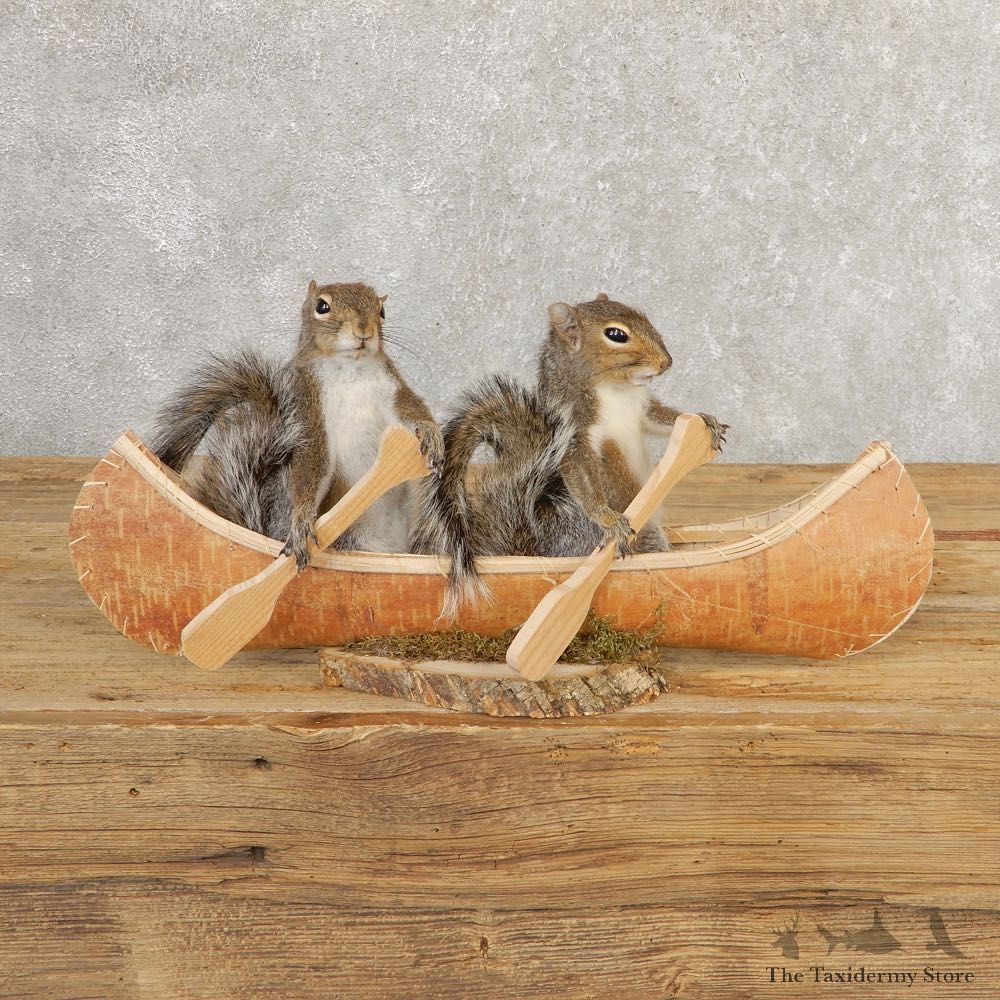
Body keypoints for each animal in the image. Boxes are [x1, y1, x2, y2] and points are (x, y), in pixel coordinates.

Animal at [151, 281, 443, 563]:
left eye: (382, 311)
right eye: (322, 306)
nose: (364, 331)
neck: (350, 369)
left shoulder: (391, 389)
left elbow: (412, 410)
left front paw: (430, 434)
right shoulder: (307, 406)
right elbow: (311, 465)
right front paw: (302, 520)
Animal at [409, 293, 727, 616]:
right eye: (616, 335)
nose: (666, 362)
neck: (614, 390)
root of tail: (542, 551)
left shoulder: (642, 410)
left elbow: (661, 418)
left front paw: (703, 421)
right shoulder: (576, 435)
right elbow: (582, 475)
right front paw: (609, 519)